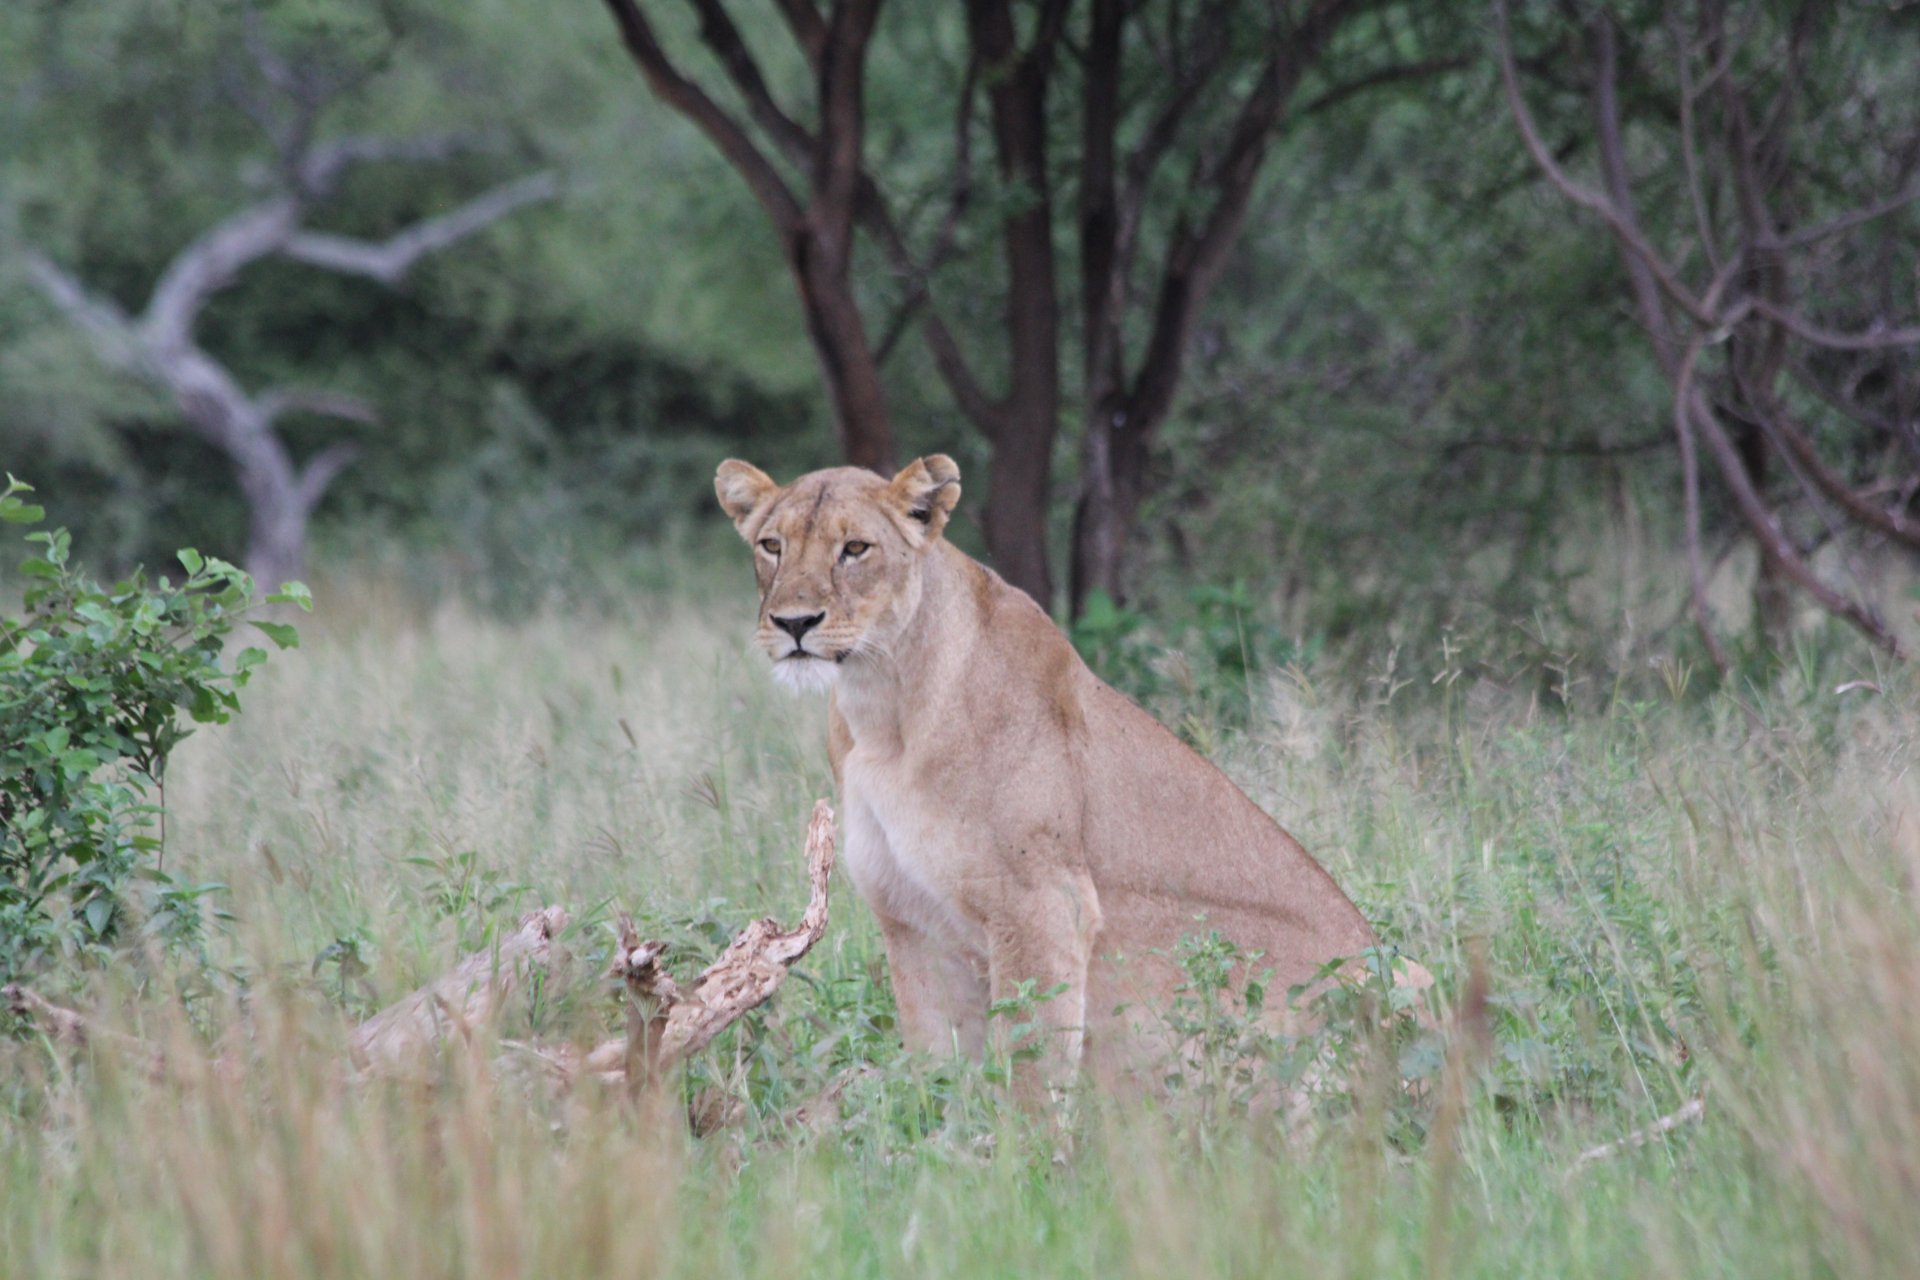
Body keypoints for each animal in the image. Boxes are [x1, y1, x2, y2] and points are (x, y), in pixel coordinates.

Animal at [716, 455, 1407, 1104]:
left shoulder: (1042, 903)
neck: (881, 706)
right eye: (772, 545)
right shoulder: (910, 921)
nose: (794, 623)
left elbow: (1031, 1067)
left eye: (855, 548)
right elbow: (935, 1073)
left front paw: (1023, 1152)